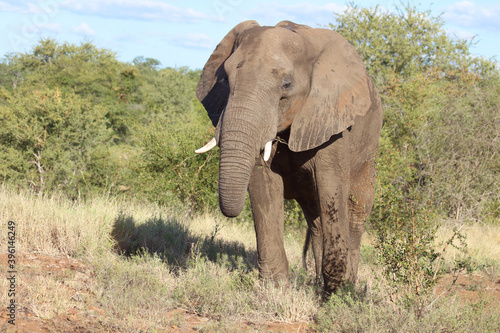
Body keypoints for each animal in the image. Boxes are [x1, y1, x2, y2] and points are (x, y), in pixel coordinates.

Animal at [195, 20, 382, 294]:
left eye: (286, 84)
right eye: (226, 79)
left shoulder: (332, 119)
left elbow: (331, 188)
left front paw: (335, 297)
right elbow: (263, 186)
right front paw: (275, 290)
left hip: (369, 147)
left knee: (356, 210)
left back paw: (347, 288)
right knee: (315, 220)